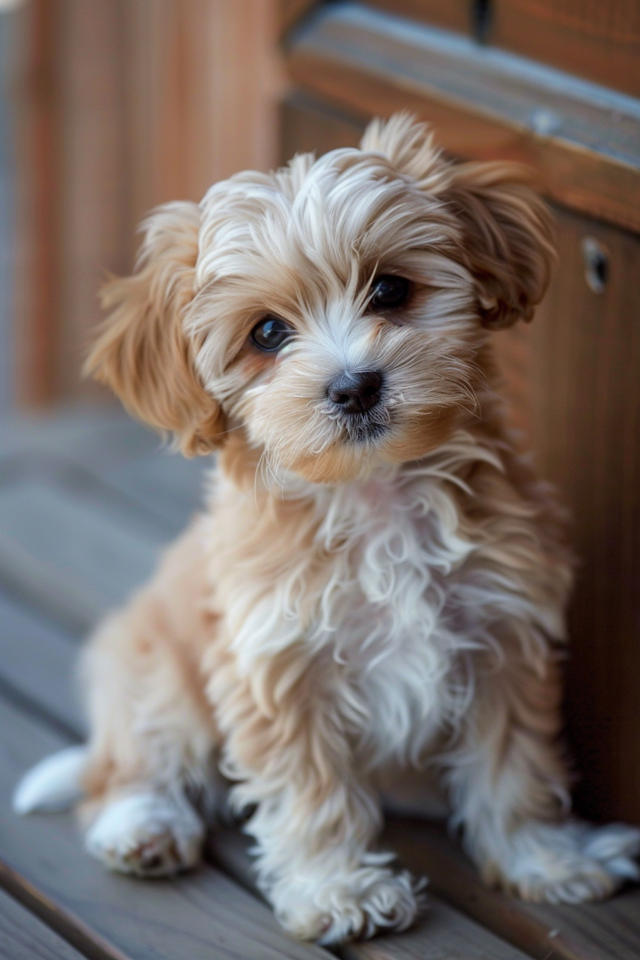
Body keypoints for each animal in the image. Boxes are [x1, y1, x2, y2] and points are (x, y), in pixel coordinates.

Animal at [15, 114, 640, 944]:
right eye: (267, 333)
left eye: (390, 289)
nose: (354, 386)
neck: (376, 493)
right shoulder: (277, 665)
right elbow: (309, 793)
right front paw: (338, 890)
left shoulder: (505, 636)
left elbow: (515, 765)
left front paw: (543, 859)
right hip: (153, 667)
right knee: (126, 765)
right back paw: (141, 825)